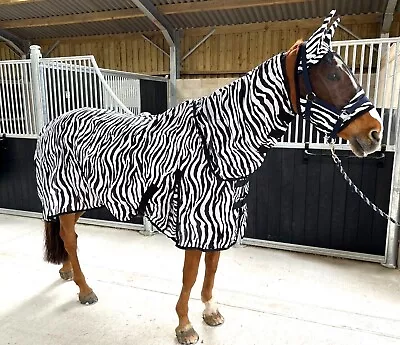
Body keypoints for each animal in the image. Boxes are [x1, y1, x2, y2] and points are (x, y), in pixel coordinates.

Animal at [36, 10, 382, 344]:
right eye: (333, 75)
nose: (375, 133)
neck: (216, 146)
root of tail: (54, 122)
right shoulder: (194, 224)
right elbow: (190, 275)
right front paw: (185, 325)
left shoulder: (220, 223)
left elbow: (212, 269)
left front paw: (210, 310)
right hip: (66, 194)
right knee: (68, 237)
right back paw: (85, 290)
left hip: (78, 200)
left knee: (69, 235)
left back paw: (68, 273)